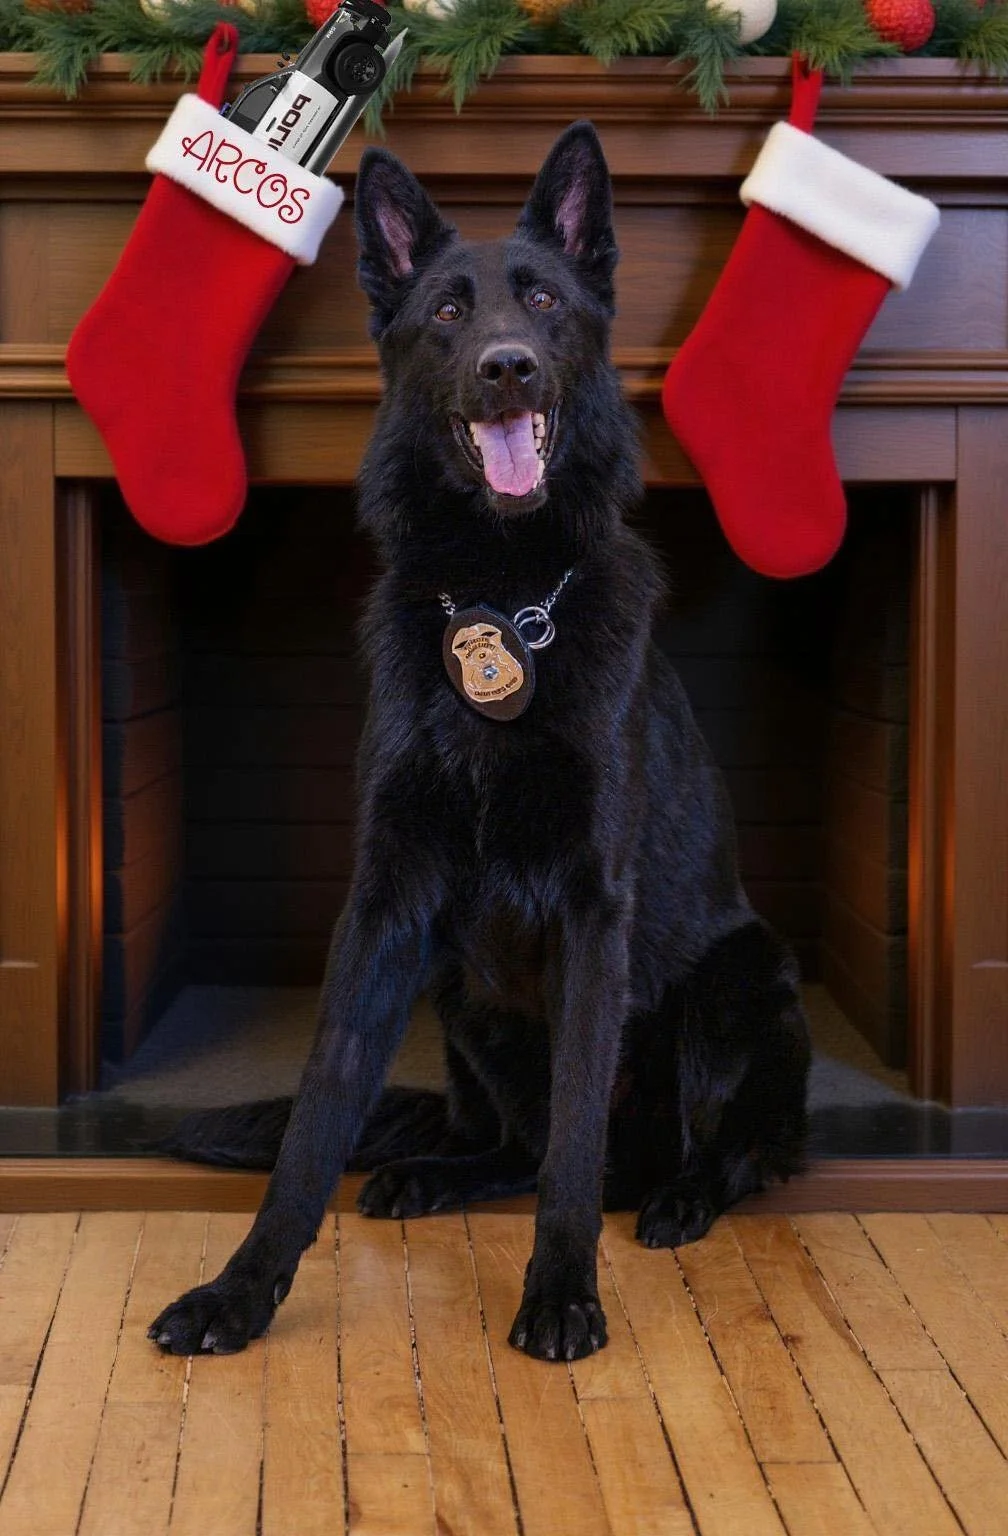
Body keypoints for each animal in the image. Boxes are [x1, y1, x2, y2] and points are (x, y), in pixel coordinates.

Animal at [150, 121, 810, 1363]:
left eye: (543, 301)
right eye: (449, 313)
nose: (508, 365)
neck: (507, 598)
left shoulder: (596, 908)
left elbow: (574, 1147)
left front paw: (562, 1292)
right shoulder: (387, 901)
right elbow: (320, 1112)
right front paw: (241, 1290)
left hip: (736, 981)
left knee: (727, 1151)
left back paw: (679, 1195)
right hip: (462, 984)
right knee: (512, 1140)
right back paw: (434, 1172)